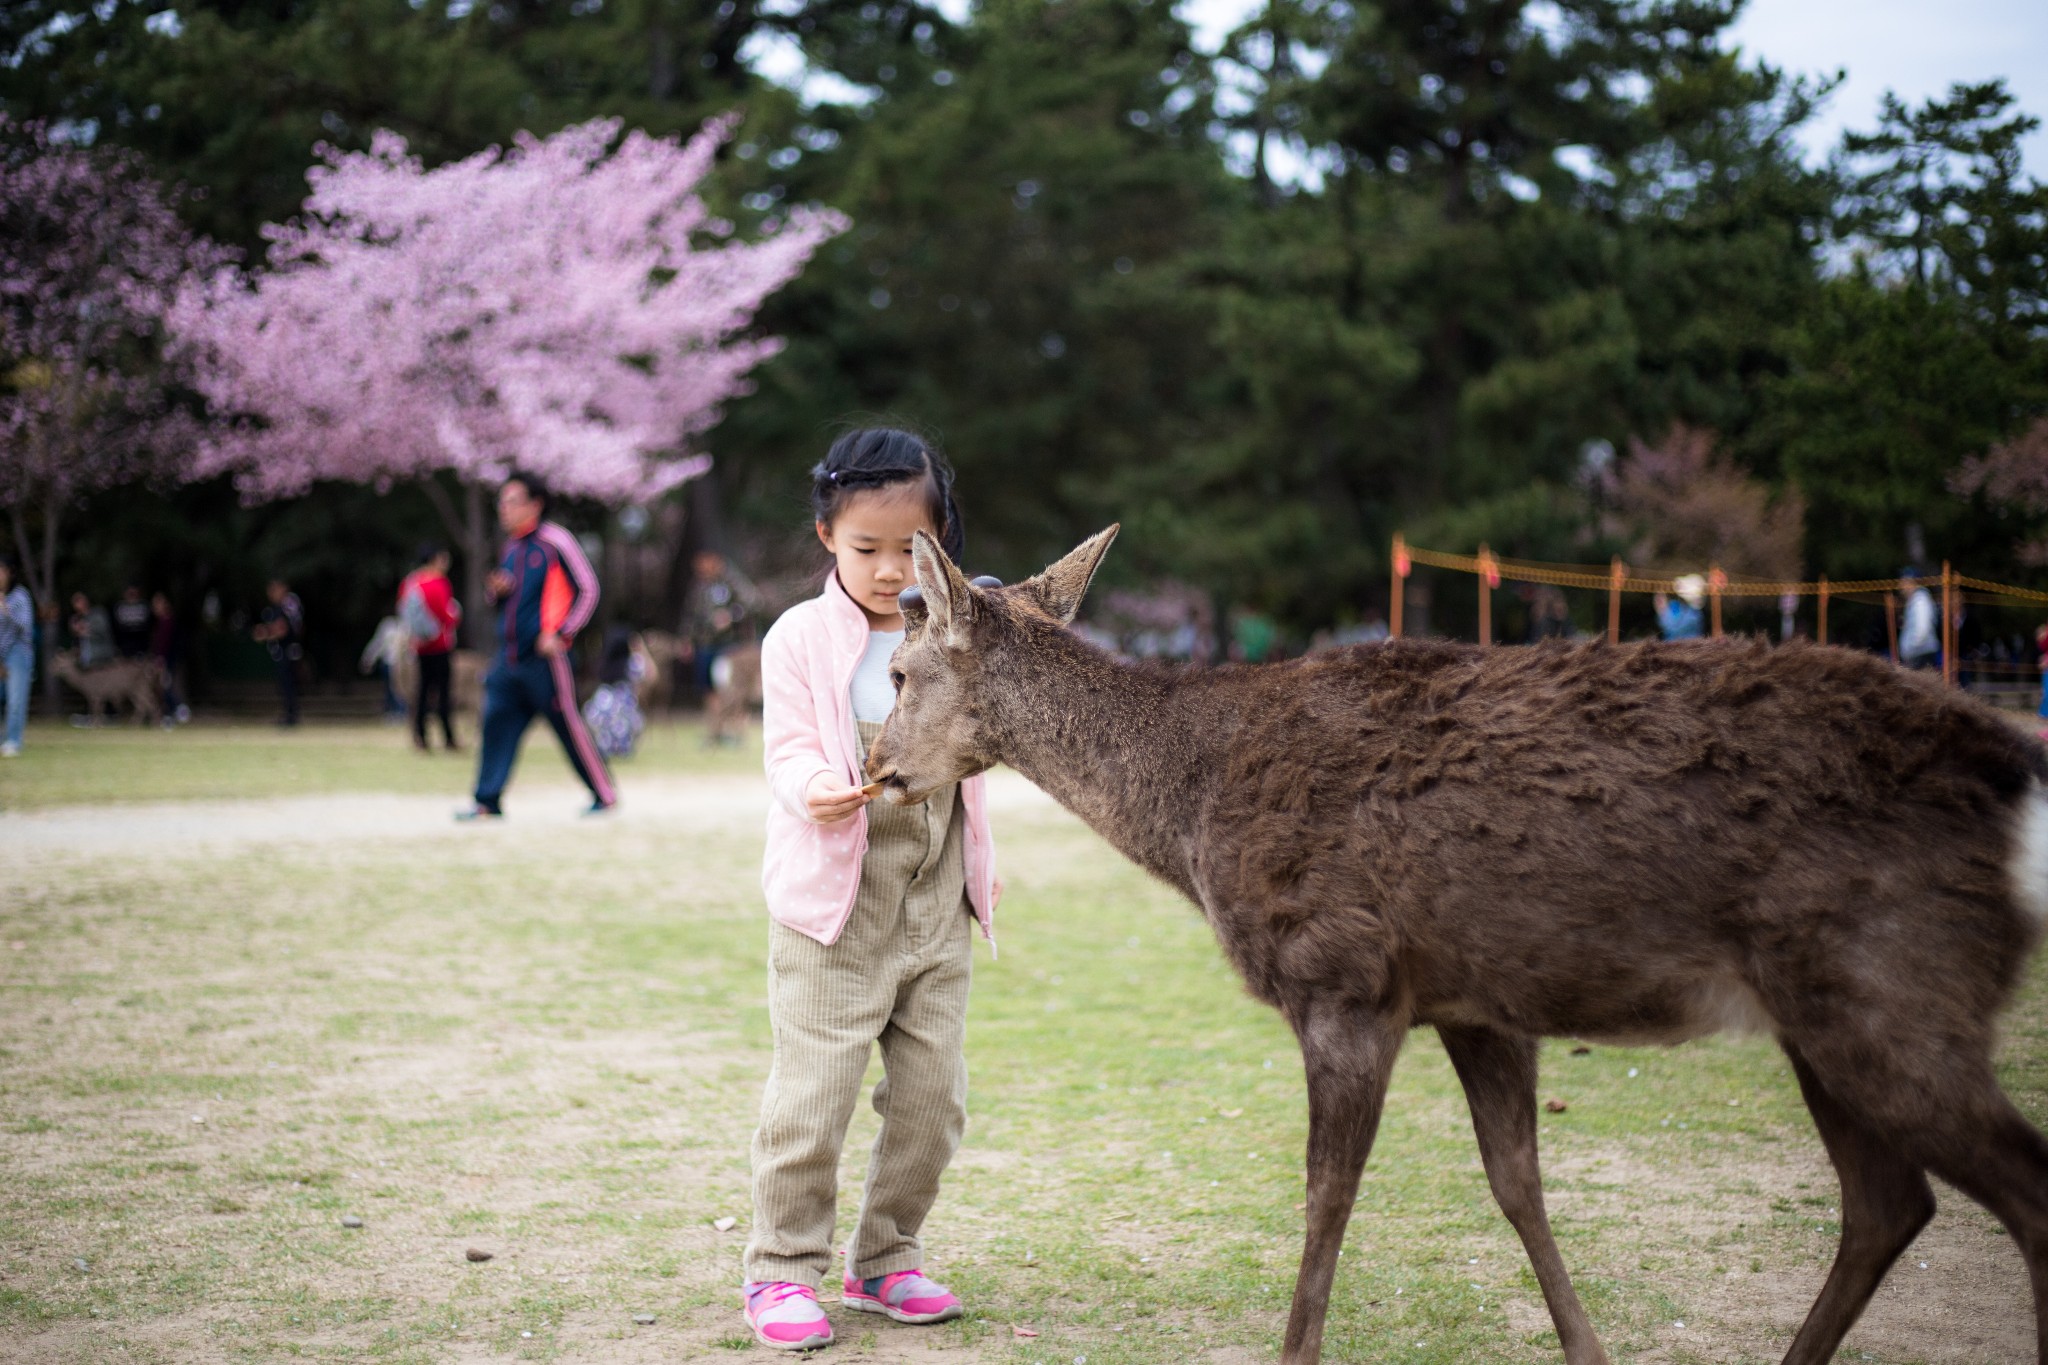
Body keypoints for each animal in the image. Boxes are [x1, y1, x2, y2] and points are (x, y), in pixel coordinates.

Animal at [872, 527, 2048, 1365]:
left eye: (897, 674)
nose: (878, 767)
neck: (1193, 814)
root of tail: (2014, 781)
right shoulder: (1479, 1000)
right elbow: (1517, 1181)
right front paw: (1589, 1350)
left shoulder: (1341, 978)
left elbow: (1325, 1193)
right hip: (1828, 1009)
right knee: (1888, 1203)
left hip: (1889, 983)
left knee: (2009, 1187)